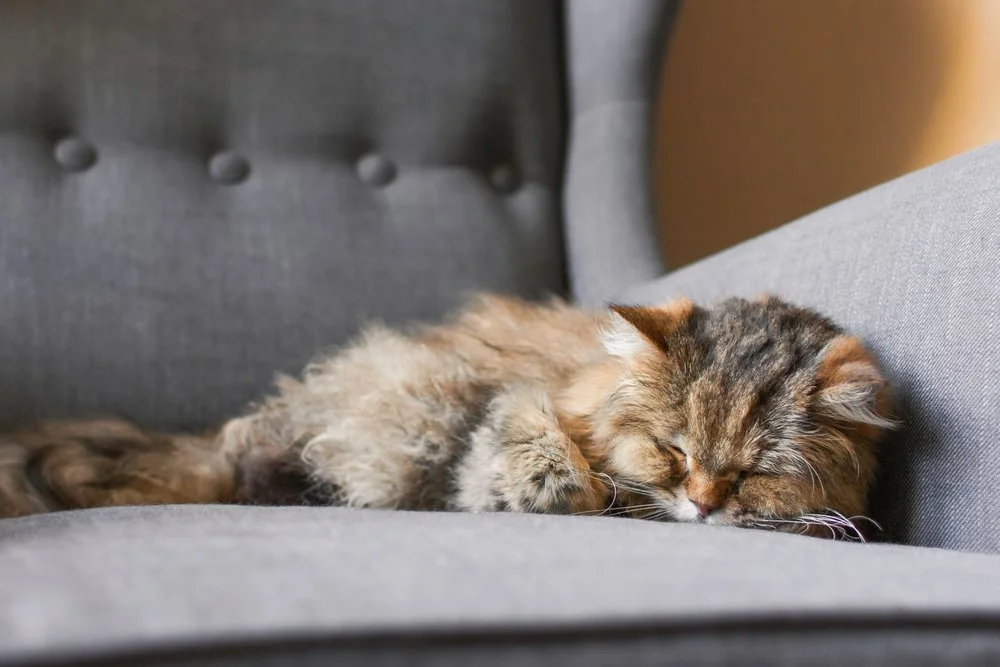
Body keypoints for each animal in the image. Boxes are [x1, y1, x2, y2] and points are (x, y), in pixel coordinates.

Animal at [0, 294, 892, 540]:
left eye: (753, 472)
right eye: (674, 450)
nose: (704, 502)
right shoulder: (520, 399)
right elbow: (557, 463)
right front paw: (543, 490)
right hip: (403, 415)